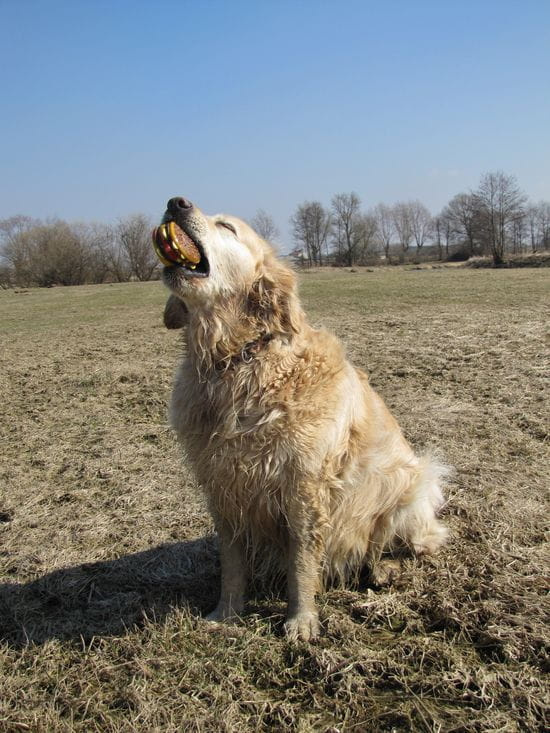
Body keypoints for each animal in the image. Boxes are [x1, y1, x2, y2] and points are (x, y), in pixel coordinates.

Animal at [157, 197, 450, 636]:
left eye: (227, 227)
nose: (176, 202)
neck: (238, 361)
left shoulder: (304, 488)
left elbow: (302, 562)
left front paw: (302, 619)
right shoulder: (222, 488)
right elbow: (232, 563)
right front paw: (226, 612)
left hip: (409, 485)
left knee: (412, 544)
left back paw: (384, 570)